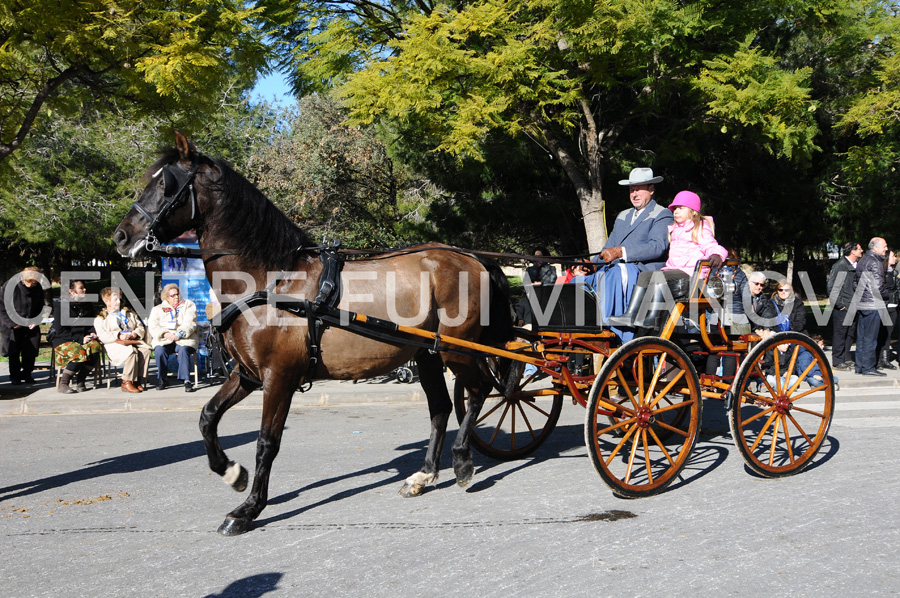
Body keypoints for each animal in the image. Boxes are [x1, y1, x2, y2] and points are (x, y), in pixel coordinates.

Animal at [112, 134, 512, 536]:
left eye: (166, 184)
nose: (121, 236)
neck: (271, 278)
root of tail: (473, 258)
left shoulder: (279, 378)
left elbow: (266, 442)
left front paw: (248, 508)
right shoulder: (247, 375)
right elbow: (207, 417)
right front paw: (232, 474)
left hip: (456, 351)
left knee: (479, 391)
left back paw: (462, 462)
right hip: (427, 353)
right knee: (441, 407)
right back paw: (424, 475)